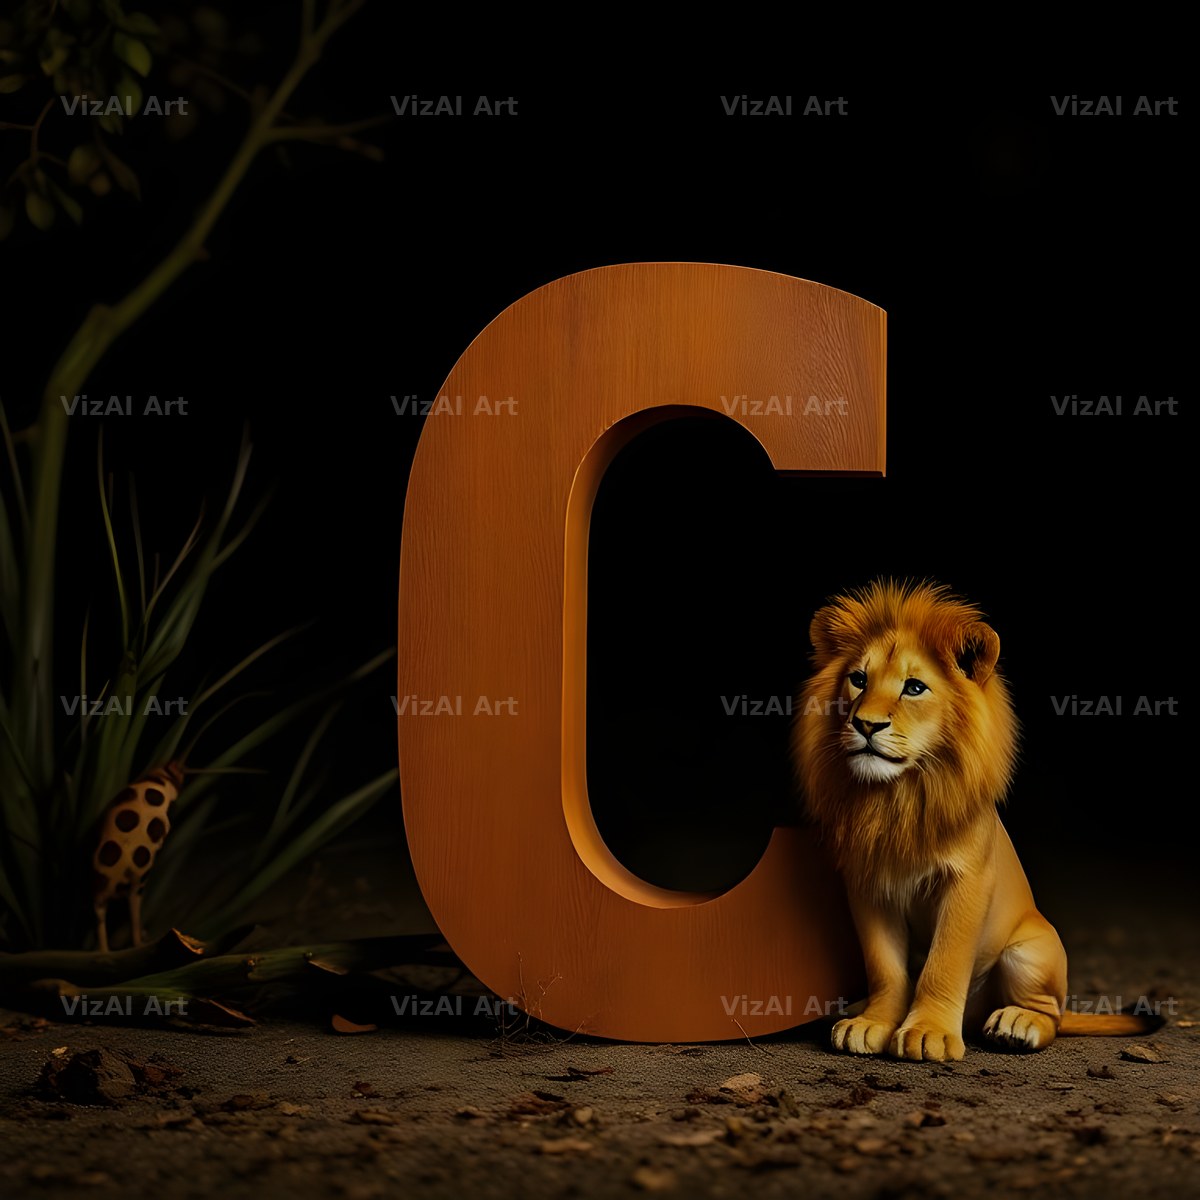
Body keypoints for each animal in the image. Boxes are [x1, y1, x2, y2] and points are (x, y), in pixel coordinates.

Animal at [793, 579, 1156, 1061]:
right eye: (858, 679)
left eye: (914, 688)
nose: (865, 725)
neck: (899, 794)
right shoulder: (868, 886)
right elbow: (884, 967)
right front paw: (873, 1023)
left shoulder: (967, 880)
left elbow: (943, 963)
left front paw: (927, 1032)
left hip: (1031, 951)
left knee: (1052, 1016)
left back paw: (1015, 1024)